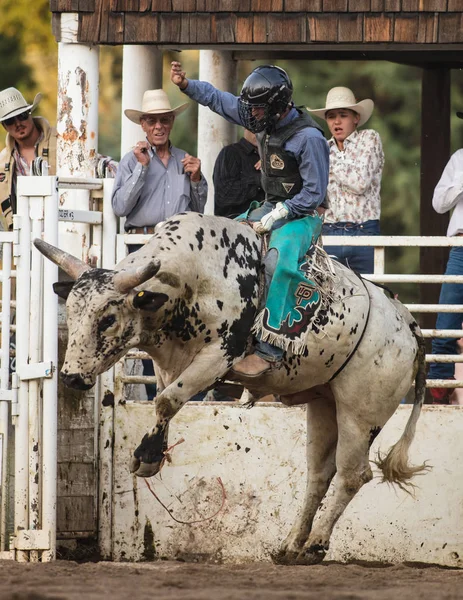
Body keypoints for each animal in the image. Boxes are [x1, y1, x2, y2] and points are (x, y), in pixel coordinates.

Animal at [35, 213, 428, 564]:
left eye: (108, 319)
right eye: (72, 312)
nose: (70, 377)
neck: (197, 273)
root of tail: (407, 325)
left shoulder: (221, 352)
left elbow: (168, 400)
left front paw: (146, 455)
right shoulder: (169, 360)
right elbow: (164, 397)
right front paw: (153, 454)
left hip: (361, 412)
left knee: (352, 475)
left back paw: (315, 546)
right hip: (324, 403)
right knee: (319, 475)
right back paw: (290, 547)